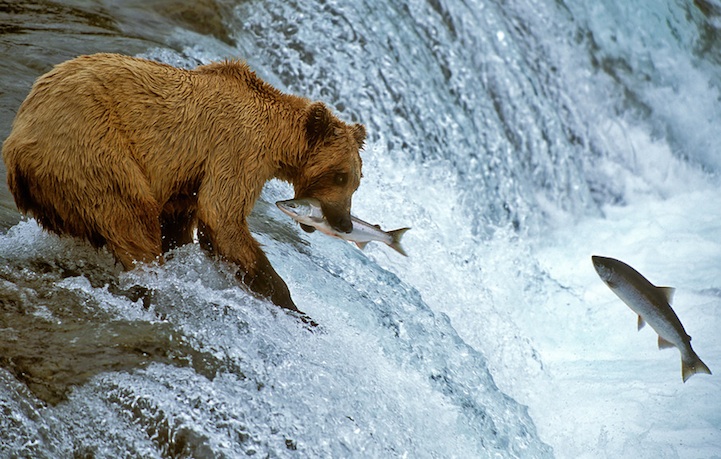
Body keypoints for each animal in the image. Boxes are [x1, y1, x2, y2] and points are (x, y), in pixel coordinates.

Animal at [2, 53, 366, 316]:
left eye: (355, 182)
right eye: (340, 175)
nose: (345, 223)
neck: (278, 138)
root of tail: (16, 143)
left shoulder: (188, 177)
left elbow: (179, 222)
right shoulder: (236, 149)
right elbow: (221, 217)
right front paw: (294, 306)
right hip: (91, 150)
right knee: (131, 218)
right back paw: (149, 288)